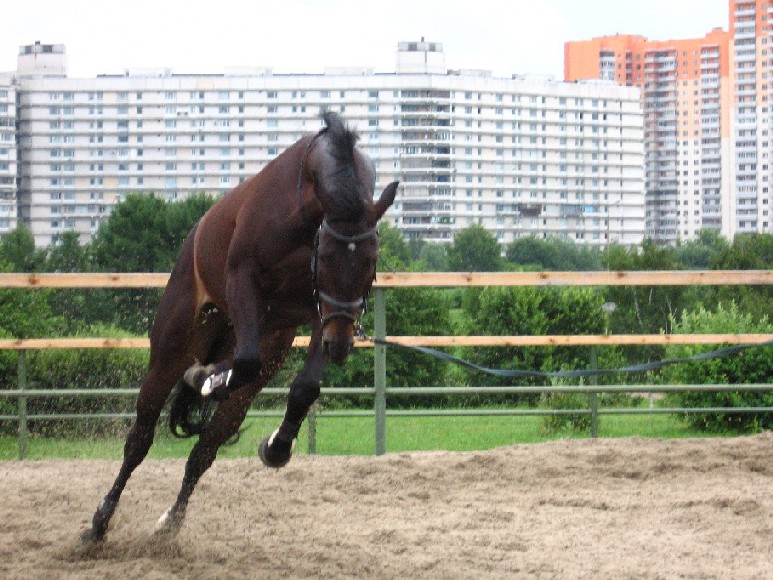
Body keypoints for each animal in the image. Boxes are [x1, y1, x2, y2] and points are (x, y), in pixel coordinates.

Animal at [80, 111, 398, 540]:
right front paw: (206, 379)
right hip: (172, 350)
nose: (341, 345)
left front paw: (276, 447)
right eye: (328, 257)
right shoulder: (244, 280)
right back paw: (100, 521)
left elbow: (304, 388)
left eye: (371, 261)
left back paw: (170, 522)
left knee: (204, 451)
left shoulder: (323, 313)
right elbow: (242, 362)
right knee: (140, 439)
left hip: (255, 367)